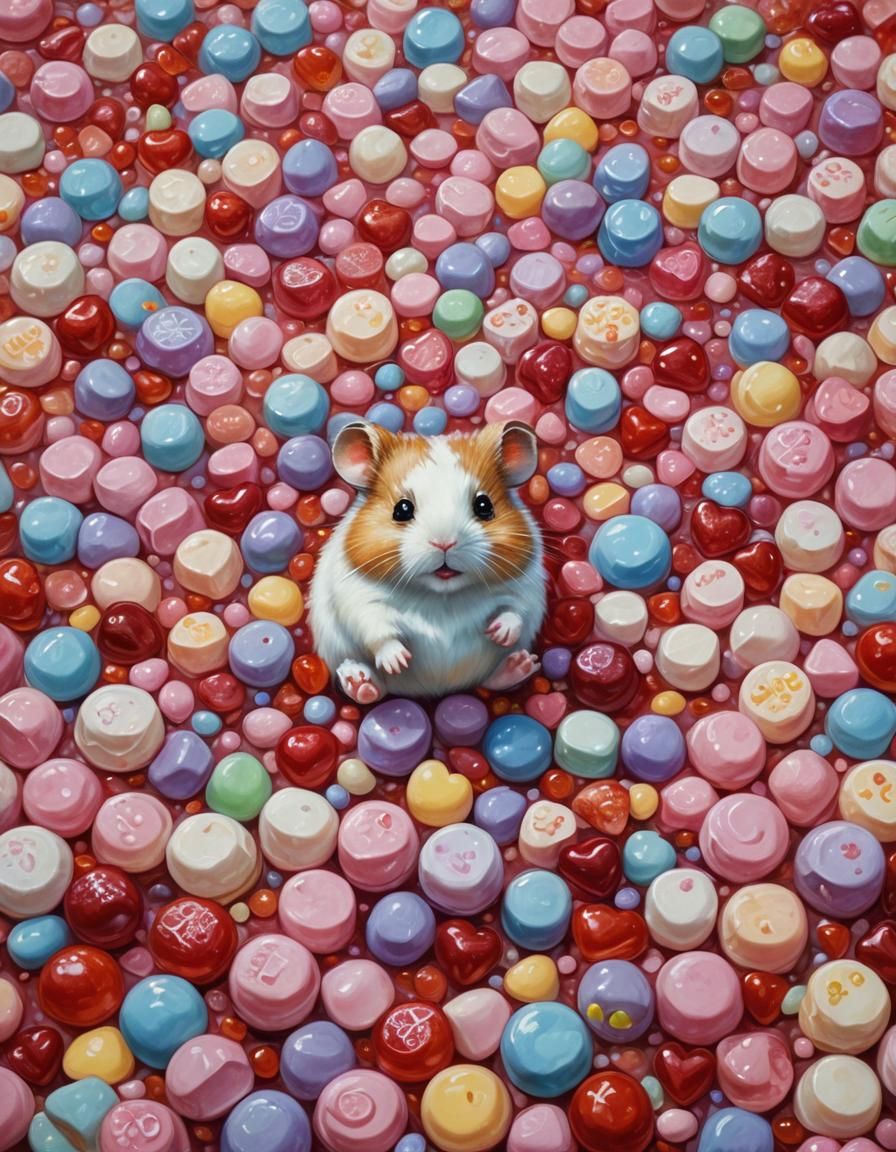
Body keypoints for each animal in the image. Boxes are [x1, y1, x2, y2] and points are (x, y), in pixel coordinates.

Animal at [309, 419, 546, 703]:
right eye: (402, 509)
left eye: (484, 505)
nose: (444, 543)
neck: (441, 597)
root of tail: (432, 691)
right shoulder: (358, 599)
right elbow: (378, 629)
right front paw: (399, 661)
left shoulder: (526, 588)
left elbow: (515, 610)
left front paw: (499, 633)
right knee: (375, 691)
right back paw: (359, 680)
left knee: (490, 681)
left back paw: (521, 664)